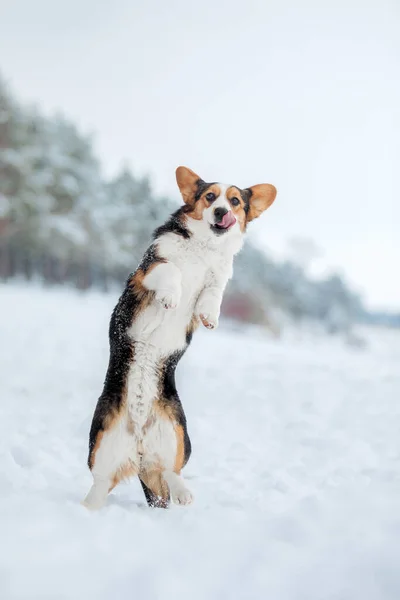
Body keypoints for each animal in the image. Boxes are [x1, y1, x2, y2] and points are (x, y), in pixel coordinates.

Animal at [83, 166, 278, 508]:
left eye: (235, 201)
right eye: (210, 196)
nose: (221, 212)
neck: (204, 248)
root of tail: (139, 450)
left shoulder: (217, 279)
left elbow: (213, 294)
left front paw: (210, 316)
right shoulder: (150, 269)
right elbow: (171, 272)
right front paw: (171, 297)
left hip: (178, 432)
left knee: (172, 471)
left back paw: (184, 493)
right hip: (102, 443)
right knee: (101, 482)